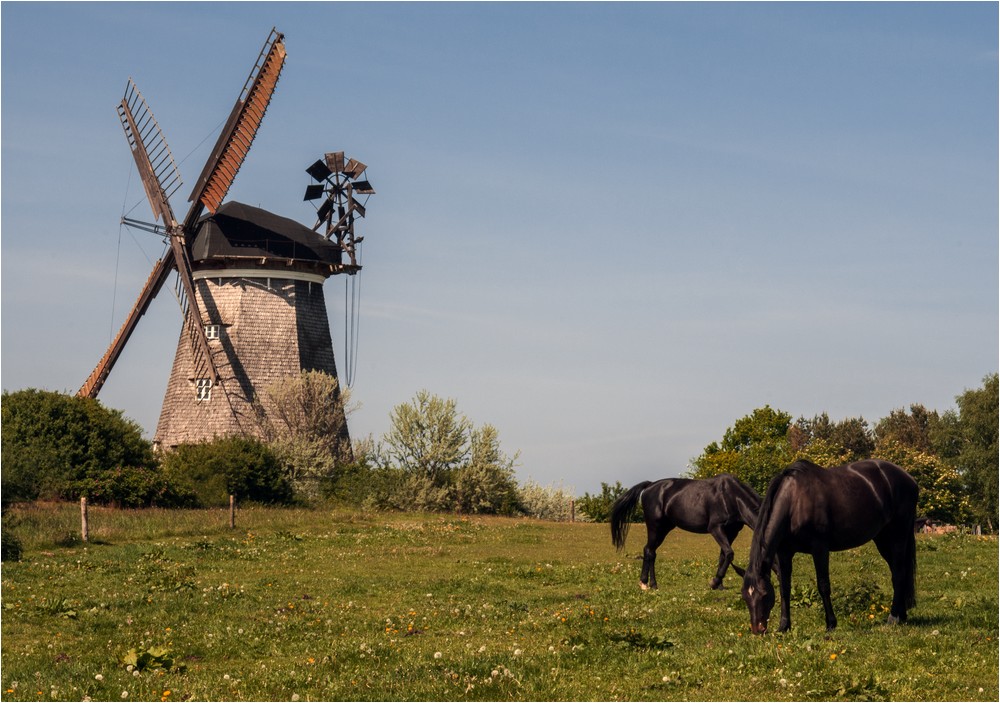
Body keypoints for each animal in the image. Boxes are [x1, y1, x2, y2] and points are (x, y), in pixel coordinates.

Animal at [608, 472, 764, 592]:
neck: (730, 496)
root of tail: (650, 486)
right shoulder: (716, 528)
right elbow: (729, 553)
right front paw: (714, 582)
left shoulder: (731, 532)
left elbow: (723, 556)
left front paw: (719, 585)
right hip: (655, 527)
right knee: (648, 551)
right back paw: (646, 584)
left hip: (664, 529)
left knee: (651, 552)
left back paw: (652, 584)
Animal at [740, 460, 916, 636]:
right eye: (745, 597)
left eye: (764, 594)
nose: (758, 629)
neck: (794, 502)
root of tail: (909, 479)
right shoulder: (784, 553)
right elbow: (784, 588)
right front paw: (784, 626)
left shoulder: (820, 548)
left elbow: (823, 585)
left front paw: (831, 623)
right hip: (883, 539)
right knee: (897, 573)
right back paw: (902, 615)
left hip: (898, 536)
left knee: (899, 573)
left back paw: (893, 617)